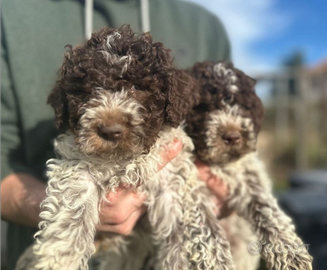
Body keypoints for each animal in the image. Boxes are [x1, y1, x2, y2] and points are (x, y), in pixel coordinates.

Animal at [186, 61, 314, 270]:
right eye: (204, 109)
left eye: (244, 108)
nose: (232, 137)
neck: (217, 163)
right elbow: (203, 223)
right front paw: (215, 261)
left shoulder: (249, 175)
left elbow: (266, 208)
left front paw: (290, 252)